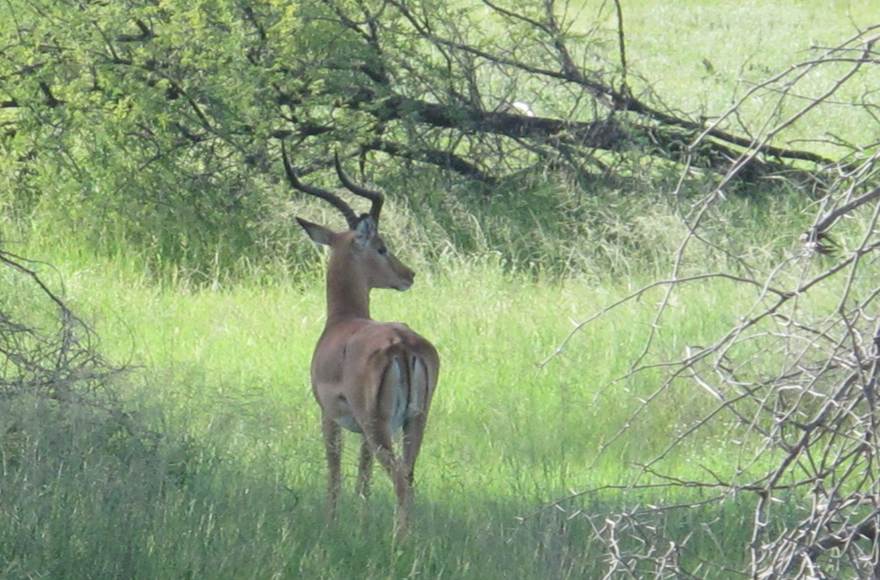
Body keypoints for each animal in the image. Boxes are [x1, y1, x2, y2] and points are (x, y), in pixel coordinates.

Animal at [282, 144, 440, 535]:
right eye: (381, 247)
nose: (409, 274)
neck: (344, 321)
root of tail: (404, 344)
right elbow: (363, 479)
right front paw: (362, 522)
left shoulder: (329, 417)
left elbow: (335, 474)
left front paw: (331, 523)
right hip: (415, 421)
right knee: (409, 476)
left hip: (378, 425)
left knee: (399, 479)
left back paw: (400, 542)